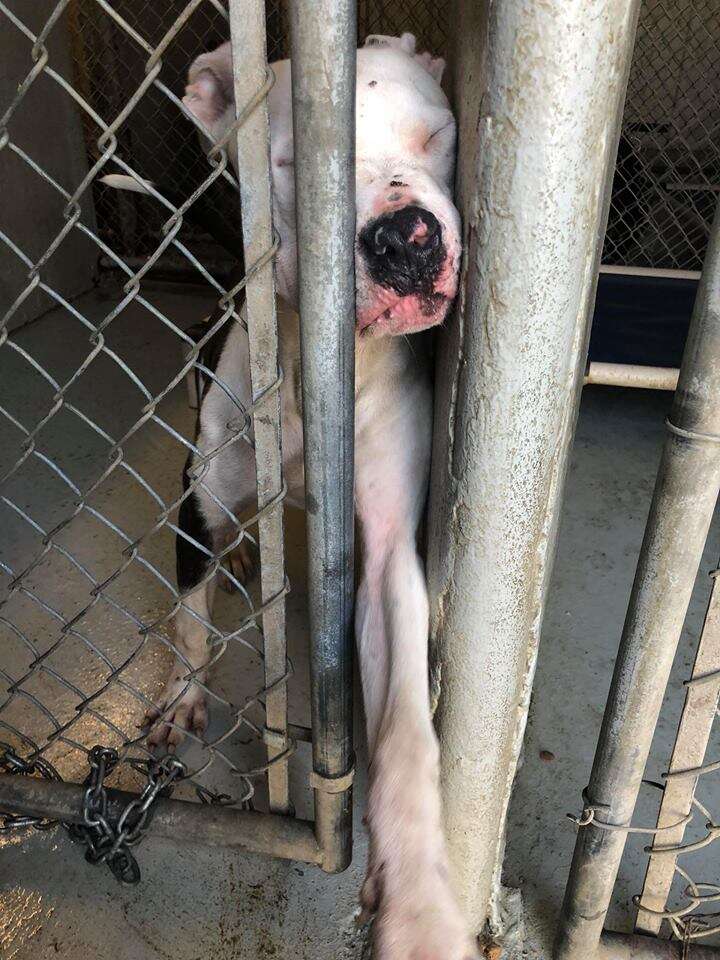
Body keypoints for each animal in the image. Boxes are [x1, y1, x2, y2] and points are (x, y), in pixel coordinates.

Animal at [111, 31, 472, 960]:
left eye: (436, 135)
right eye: (290, 164)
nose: (406, 239)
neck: (315, 369)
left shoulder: (386, 556)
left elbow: (407, 733)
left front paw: (420, 905)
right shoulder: (197, 501)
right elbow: (189, 620)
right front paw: (180, 700)